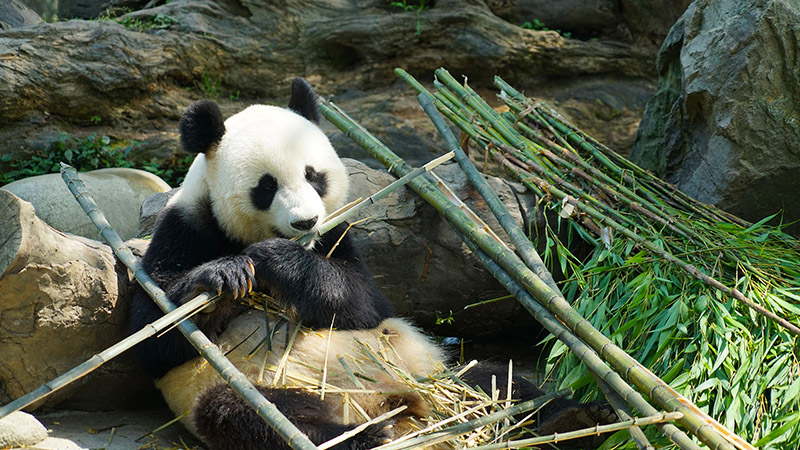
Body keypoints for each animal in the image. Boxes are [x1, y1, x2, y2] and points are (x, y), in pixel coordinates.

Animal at [130, 78, 616, 450]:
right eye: (266, 187)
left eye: (313, 175)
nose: (305, 222)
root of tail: (386, 404)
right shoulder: (186, 224)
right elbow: (154, 338)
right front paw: (222, 275)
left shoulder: (337, 236)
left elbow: (362, 303)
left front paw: (273, 260)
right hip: (249, 386)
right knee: (253, 419)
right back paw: (365, 437)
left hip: (428, 367)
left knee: (496, 380)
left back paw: (572, 417)